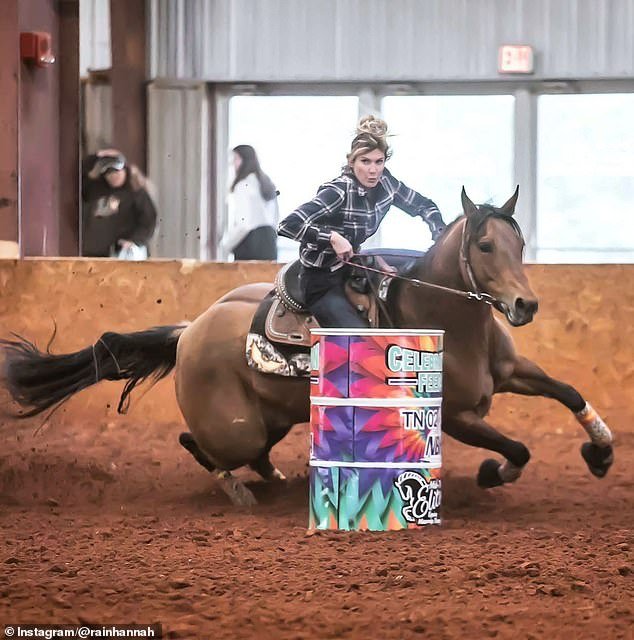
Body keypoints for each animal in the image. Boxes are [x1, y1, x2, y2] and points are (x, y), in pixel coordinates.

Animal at [0, 188, 612, 508]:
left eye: (519, 242)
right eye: (484, 245)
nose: (525, 305)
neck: (447, 319)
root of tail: (189, 331)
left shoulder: (512, 370)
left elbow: (568, 391)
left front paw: (602, 452)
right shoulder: (457, 416)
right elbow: (519, 449)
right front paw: (491, 474)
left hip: (274, 416)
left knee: (254, 452)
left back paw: (277, 481)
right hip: (235, 427)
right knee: (200, 445)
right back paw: (240, 492)